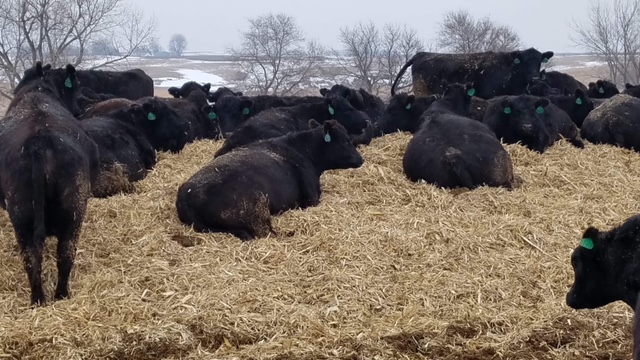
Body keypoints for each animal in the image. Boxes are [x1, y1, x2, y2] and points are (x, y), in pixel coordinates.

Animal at [0, 61, 100, 304]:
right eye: (75, 87)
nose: (79, 110)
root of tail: (39, 140)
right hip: (71, 214)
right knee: (60, 255)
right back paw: (55, 297)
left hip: (24, 216)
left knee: (36, 257)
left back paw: (42, 299)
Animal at [175, 119, 364, 240]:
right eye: (346, 140)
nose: (361, 160)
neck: (304, 151)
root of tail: (187, 195)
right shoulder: (312, 197)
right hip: (256, 211)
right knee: (264, 233)